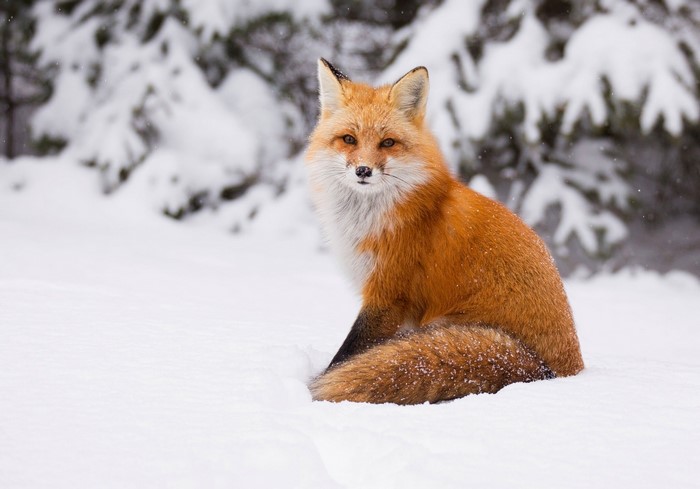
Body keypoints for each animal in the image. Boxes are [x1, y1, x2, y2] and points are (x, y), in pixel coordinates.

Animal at [305, 58, 584, 404]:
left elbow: (348, 353)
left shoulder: (389, 293)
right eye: (348, 139)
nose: (363, 171)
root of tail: (554, 371)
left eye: (387, 143)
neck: (371, 218)